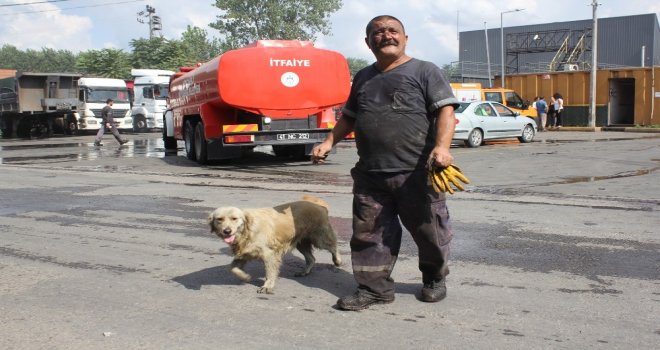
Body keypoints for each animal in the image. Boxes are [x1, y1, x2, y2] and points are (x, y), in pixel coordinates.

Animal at [209, 196, 342, 294]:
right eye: (219, 219)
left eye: (234, 218)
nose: (227, 231)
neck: (248, 230)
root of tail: (318, 204)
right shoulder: (244, 253)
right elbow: (232, 268)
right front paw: (245, 277)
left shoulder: (269, 254)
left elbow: (270, 272)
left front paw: (267, 286)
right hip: (301, 243)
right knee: (312, 258)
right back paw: (304, 271)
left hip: (319, 238)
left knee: (333, 246)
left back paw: (337, 260)